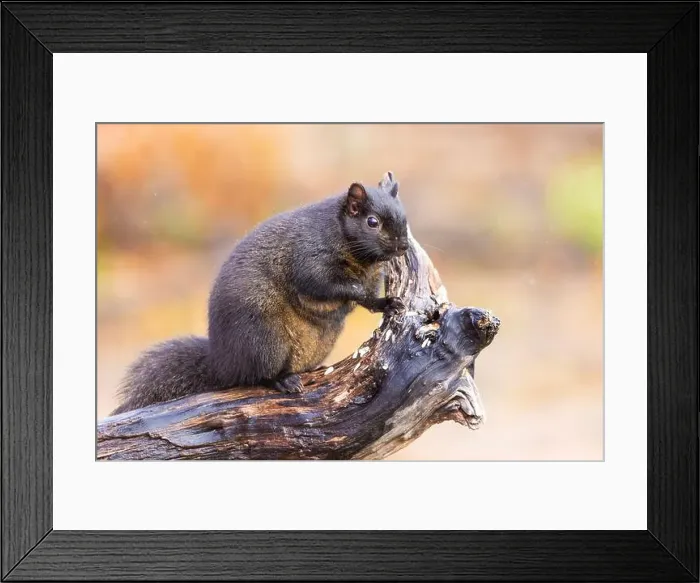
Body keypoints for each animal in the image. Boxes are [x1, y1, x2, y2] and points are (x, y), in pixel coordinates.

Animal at [111, 171, 409, 414]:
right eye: (372, 222)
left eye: (404, 217)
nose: (403, 246)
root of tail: (223, 363)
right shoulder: (310, 257)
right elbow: (321, 284)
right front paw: (356, 292)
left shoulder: (373, 276)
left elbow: (369, 297)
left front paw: (386, 303)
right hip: (266, 339)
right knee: (257, 377)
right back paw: (283, 380)